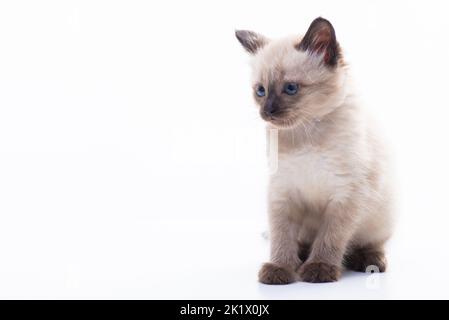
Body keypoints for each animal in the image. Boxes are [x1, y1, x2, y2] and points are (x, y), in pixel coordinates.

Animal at [236, 17, 390, 282]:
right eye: (260, 91)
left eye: (290, 88)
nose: (267, 112)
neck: (306, 134)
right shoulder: (282, 192)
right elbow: (281, 237)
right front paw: (280, 268)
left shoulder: (346, 195)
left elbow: (330, 237)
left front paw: (319, 269)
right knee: (299, 241)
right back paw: (299, 256)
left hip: (380, 218)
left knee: (370, 244)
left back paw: (368, 261)